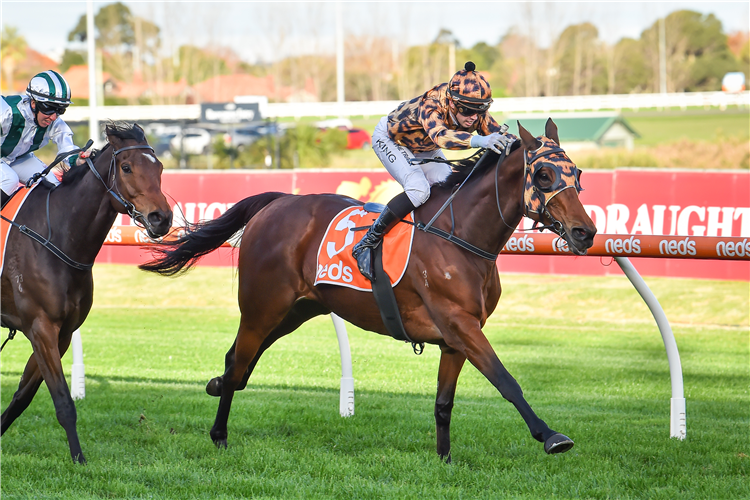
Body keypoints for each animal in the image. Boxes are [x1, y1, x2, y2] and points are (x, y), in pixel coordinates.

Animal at [0, 122, 172, 464]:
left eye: (159, 167)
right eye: (126, 167)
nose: (162, 218)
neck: (58, 238)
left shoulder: (62, 333)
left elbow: (22, 396)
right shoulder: (41, 327)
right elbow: (64, 401)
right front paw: (79, 458)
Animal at [141, 120, 600, 460]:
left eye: (577, 174)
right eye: (543, 174)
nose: (586, 232)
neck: (461, 236)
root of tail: (277, 202)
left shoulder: (455, 337)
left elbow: (444, 403)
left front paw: (445, 459)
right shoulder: (460, 325)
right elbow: (507, 381)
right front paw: (551, 435)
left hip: (295, 310)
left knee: (238, 361)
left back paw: (217, 385)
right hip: (261, 307)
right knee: (240, 361)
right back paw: (219, 433)